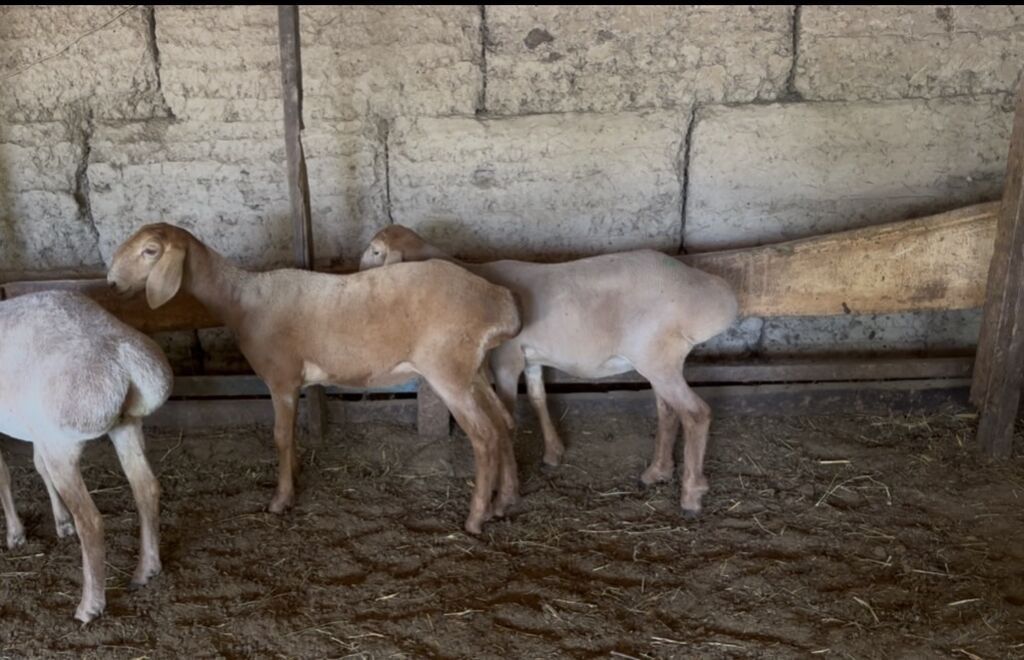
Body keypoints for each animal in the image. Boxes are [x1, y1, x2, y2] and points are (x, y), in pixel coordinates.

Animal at [0, 290, 171, 623]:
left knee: (91, 520)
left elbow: (5, 475)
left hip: (65, 441)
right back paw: (146, 570)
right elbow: (37, 466)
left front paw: (16, 535)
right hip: (125, 424)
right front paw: (61, 523)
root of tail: (125, 359)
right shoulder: (39, 431)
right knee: (146, 488)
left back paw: (89, 607)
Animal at [107, 223, 522, 535]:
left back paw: (475, 518)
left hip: (448, 370)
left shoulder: (281, 377)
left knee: (484, 436)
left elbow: (280, 436)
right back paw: (503, 502)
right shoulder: (293, 384)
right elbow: (293, 435)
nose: (111, 284)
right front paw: (294, 477)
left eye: (150, 251)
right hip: (474, 370)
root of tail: (501, 303)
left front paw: (280, 500)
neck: (240, 300)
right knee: (503, 422)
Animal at [360, 226, 739, 517]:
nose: (357, 275)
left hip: (657, 356)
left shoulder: (506, 359)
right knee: (668, 410)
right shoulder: (532, 358)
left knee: (696, 414)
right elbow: (539, 398)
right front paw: (553, 454)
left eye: (376, 250)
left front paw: (506, 495)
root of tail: (718, 296)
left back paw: (691, 495)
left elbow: (509, 415)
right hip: (661, 360)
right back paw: (657, 472)